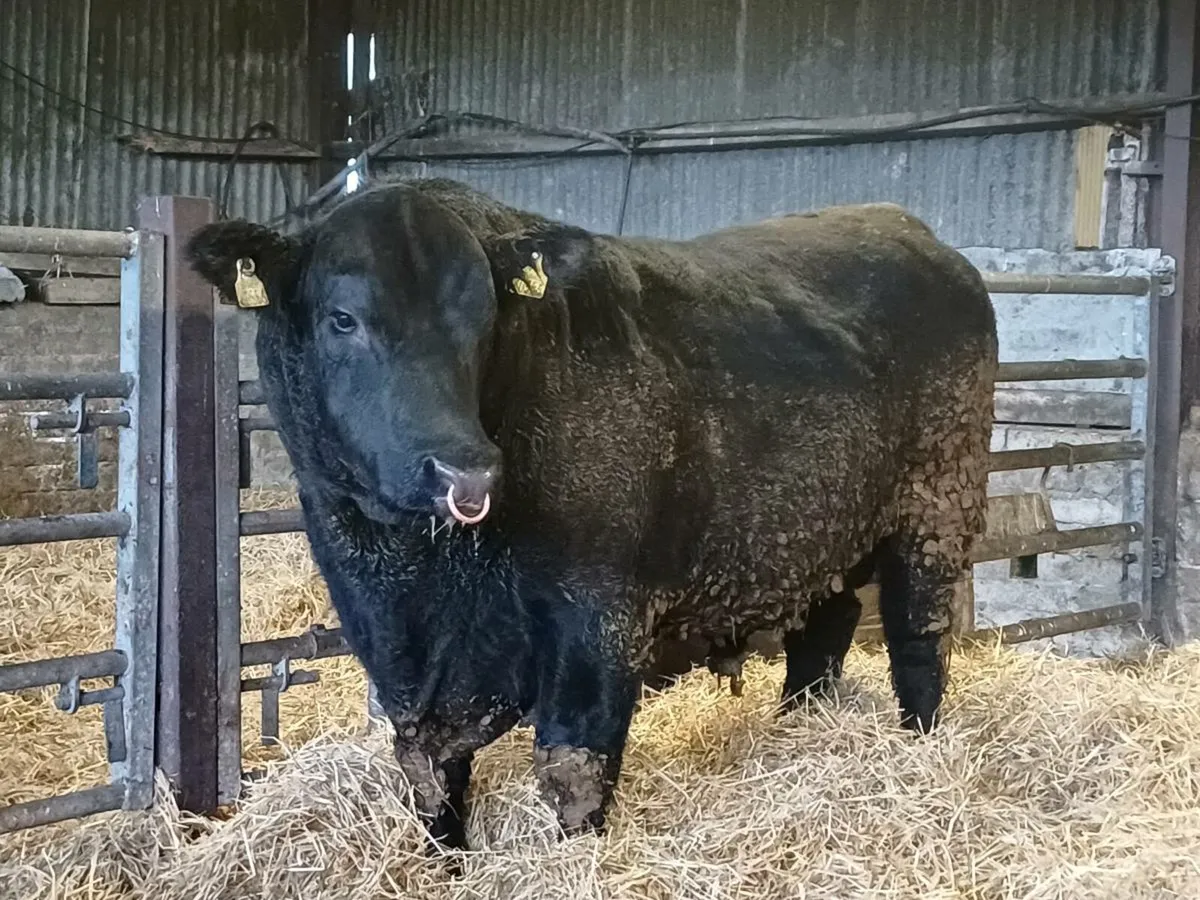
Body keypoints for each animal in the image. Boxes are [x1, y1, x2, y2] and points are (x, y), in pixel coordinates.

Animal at [187, 177, 997, 854]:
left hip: (938, 505)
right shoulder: (392, 648)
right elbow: (428, 772)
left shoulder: (598, 614)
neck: (424, 577)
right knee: (824, 634)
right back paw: (799, 729)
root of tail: (912, 231)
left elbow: (573, 765)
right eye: (342, 319)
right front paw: (442, 862)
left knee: (919, 637)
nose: (463, 469)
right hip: (818, 531)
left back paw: (920, 747)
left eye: (483, 317)